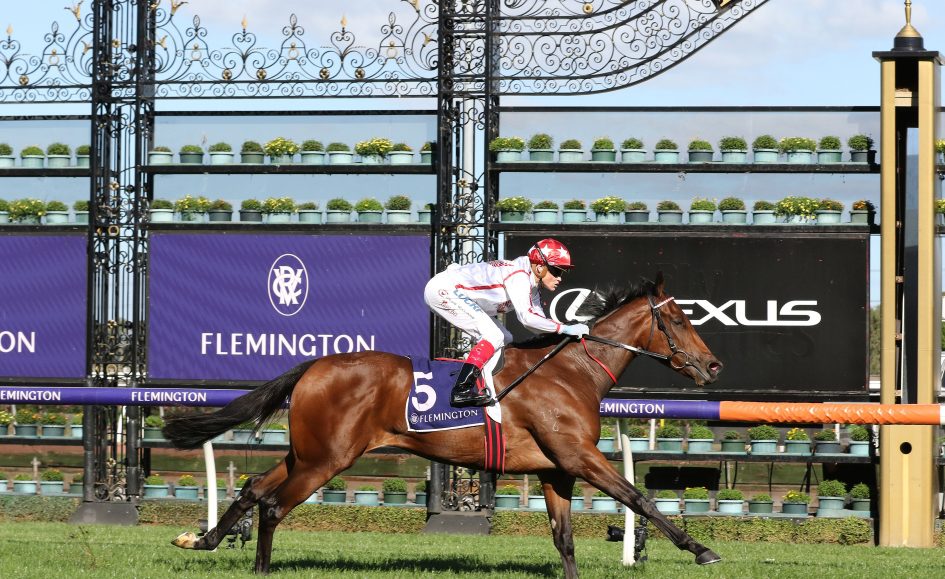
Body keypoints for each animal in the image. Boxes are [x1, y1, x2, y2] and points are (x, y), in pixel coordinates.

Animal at [163, 272, 723, 576]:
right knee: (275, 506)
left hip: (307, 452)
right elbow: (639, 498)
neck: (570, 373)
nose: (713, 365)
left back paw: (202, 540)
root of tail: (314, 366)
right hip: (327, 459)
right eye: (679, 321)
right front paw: (701, 550)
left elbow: (564, 538)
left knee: (255, 488)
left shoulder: (556, 469)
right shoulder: (578, 457)